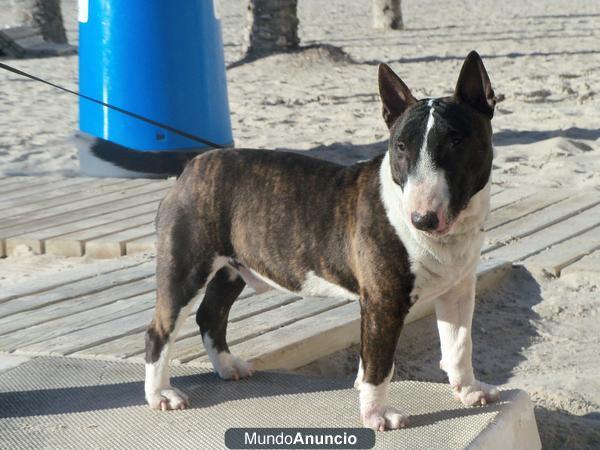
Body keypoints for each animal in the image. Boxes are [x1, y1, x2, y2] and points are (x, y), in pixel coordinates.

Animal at [143, 51, 500, 430]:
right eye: (401, 147)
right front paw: (376, 415)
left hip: (232, 267)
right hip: (186, 268)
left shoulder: (458, 289)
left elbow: (459, 345)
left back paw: (228, 367)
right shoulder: (383, 301)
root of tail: (193, 166)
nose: (422, 219)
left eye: (457, 141)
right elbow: (378, 365)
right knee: (160, 330)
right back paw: (161, 394)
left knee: (211, 315)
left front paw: (470, 391)